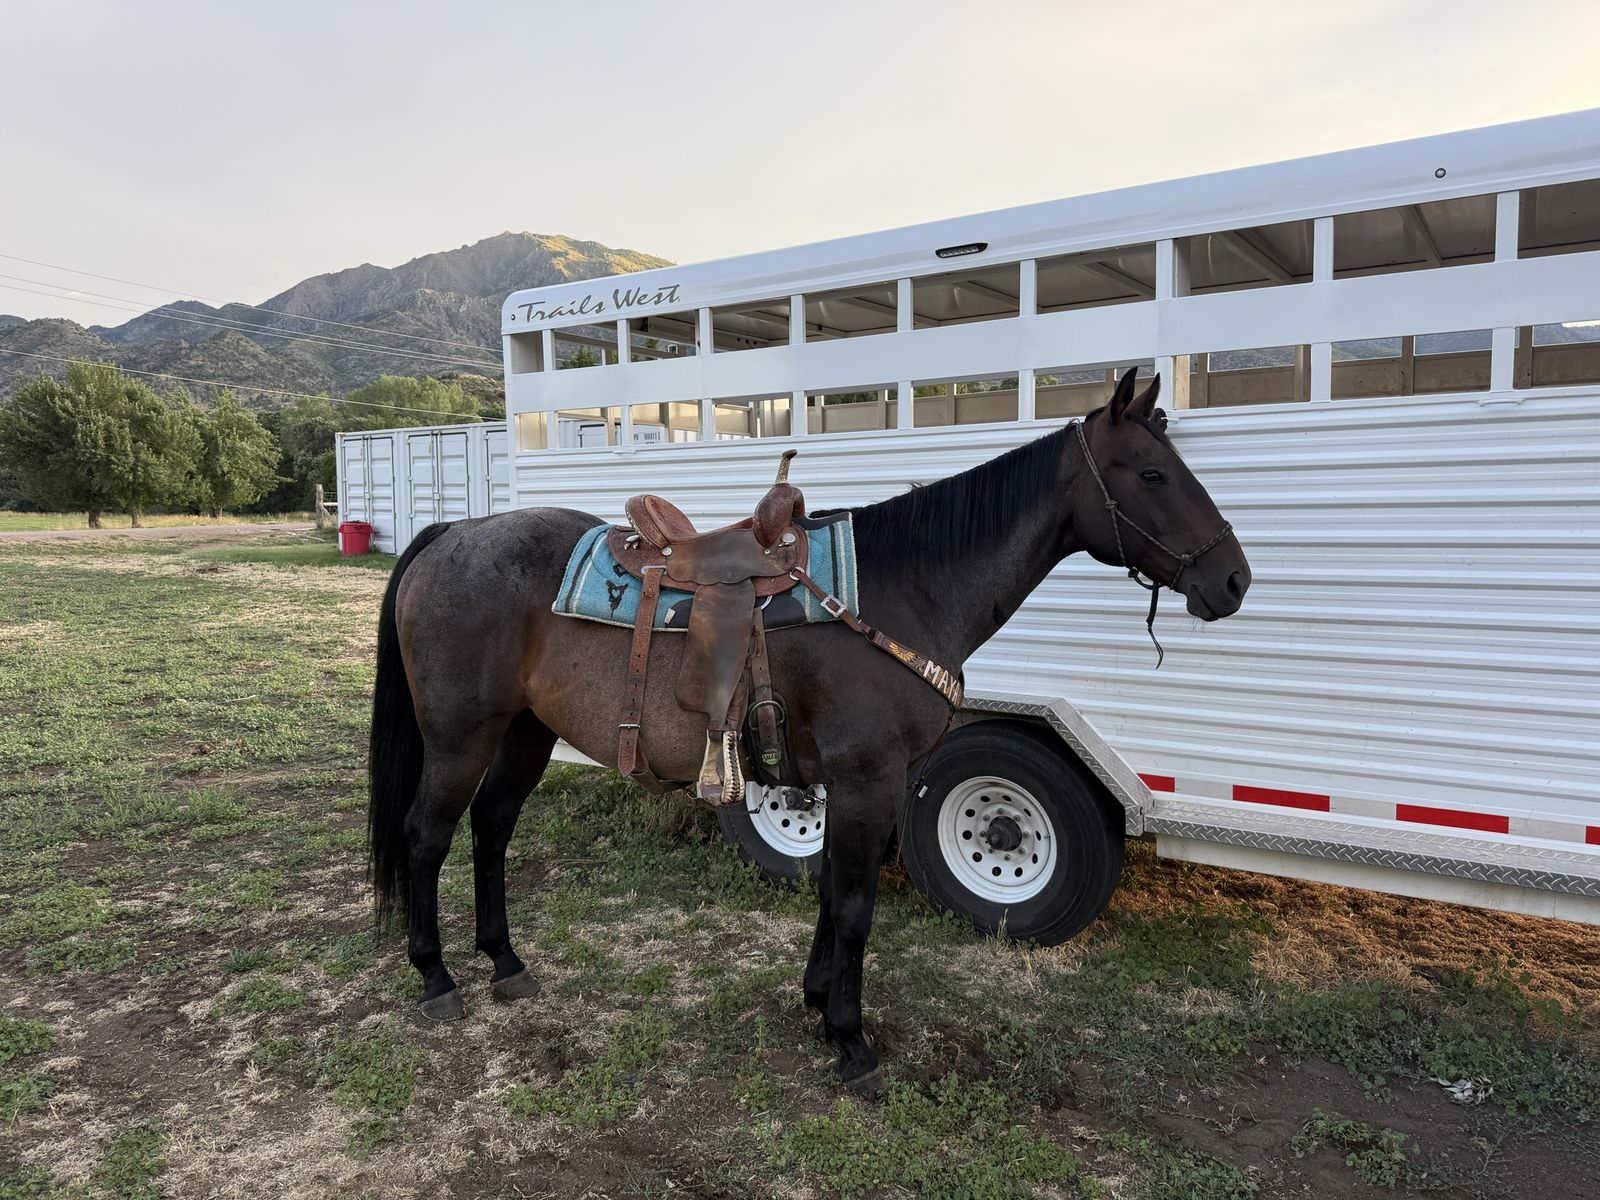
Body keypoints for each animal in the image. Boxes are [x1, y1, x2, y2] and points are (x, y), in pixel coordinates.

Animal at [366, 367, 1250, 1091]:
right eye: (1153, 472)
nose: (1233, 579)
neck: (902, 588)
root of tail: (454, 533)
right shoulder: (866, 779)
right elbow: (855, 902)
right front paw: (850, 1041)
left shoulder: (861, 784)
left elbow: (831, 889)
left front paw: (817, 1000)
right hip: (460, 736)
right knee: (426, 836)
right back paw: (436, 977)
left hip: (525, 732)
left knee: (491, 828)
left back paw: (504, 961)